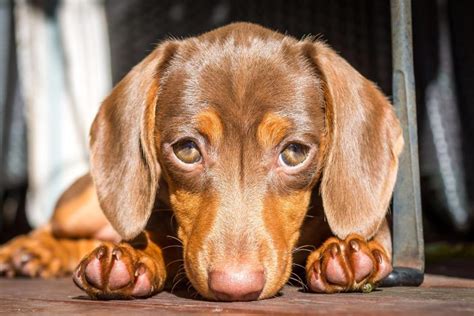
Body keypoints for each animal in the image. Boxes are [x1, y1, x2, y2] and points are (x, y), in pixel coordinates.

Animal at [0, 22, 404, 302]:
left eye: (294, 152)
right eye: (187, 149)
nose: (236, 287)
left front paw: (351, 253)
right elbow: (154, 238)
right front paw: (132, 258)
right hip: (79, 208)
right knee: (51, 226)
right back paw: (28, 251)